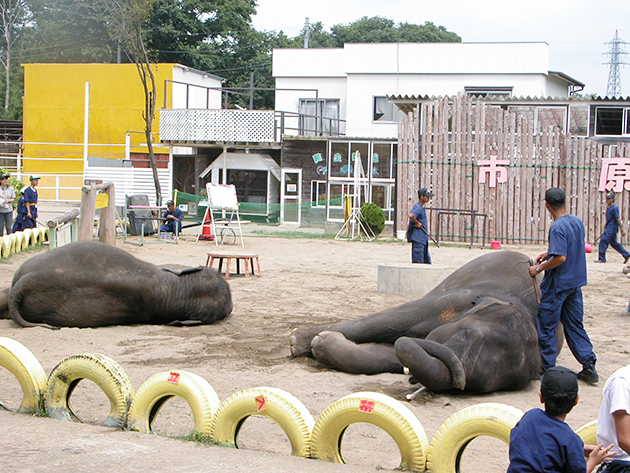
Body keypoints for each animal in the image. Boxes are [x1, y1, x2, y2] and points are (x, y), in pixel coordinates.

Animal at [292, 249, 552, 392]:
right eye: (465, 333)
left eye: (482, 386)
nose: (412, 381)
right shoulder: (456, 299)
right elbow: (393, 320)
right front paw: (301, 340)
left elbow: (389, 354)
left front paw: (321, 343)